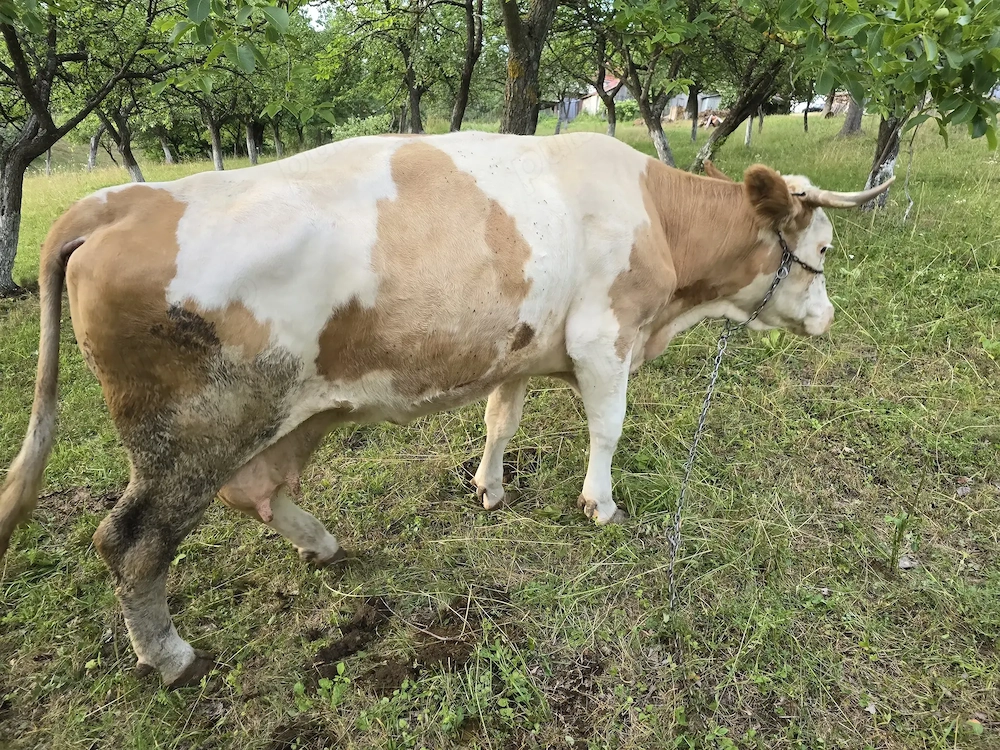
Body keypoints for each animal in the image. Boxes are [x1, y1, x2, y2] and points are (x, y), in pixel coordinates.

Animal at [0, 131, 892, 687]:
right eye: (823, 250)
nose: (828, 318)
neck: (659, 225)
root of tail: (120, 201)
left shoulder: (521, 348)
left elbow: (501, 421)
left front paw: (490, 488)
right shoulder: (605, 337)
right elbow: (608, 428)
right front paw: (600, 505)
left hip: (284, 414)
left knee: (254, 489)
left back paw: (322, 545)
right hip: (189, 432)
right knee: (132, 540)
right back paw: (171, 656)